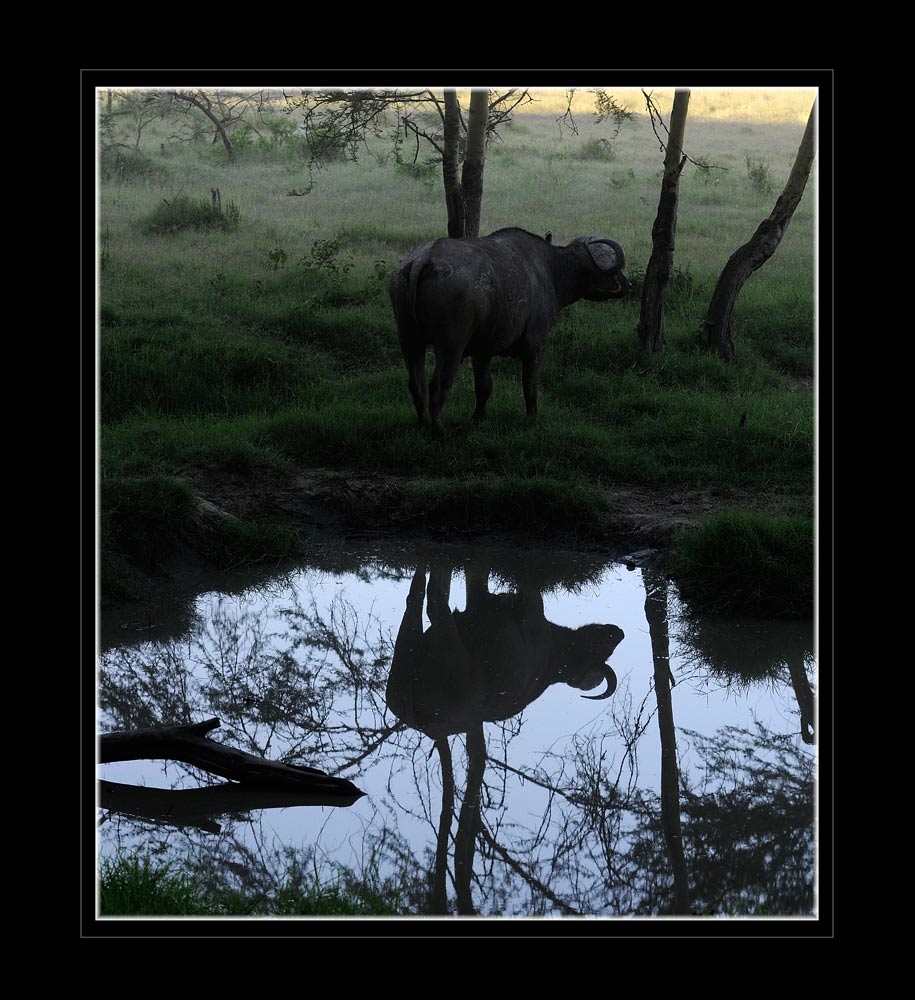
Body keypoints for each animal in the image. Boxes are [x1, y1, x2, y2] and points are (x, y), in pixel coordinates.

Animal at [390, 227, 631, 435]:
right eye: (615, 267)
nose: (628, 285)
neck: (551, 269)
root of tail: (425, 259)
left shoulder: (482, 352)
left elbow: (484, 386)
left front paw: (478, 418)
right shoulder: (537, 344)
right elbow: (530, 385)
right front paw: (532, 418)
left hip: (409, 340)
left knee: (417, 383)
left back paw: (424, 424)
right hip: (450, 346)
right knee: (439, 386)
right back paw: (439, 431)